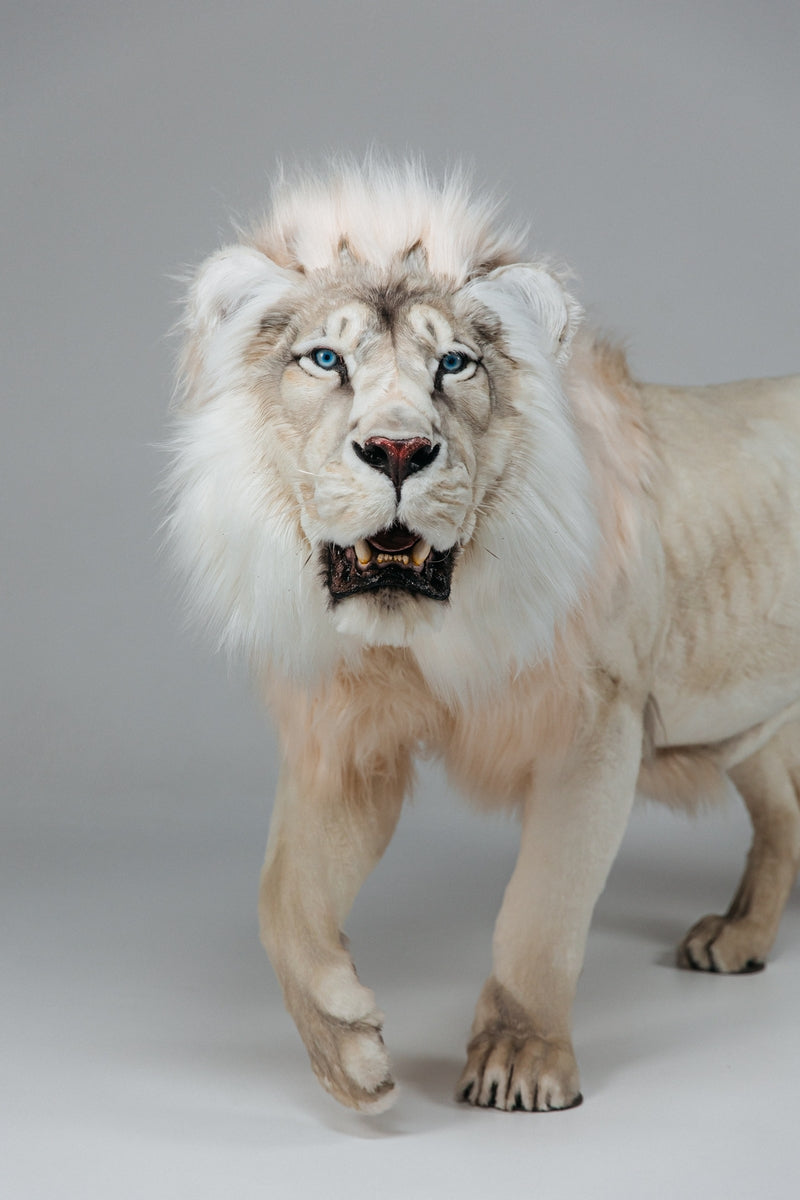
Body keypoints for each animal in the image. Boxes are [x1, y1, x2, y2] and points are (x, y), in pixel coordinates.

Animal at [167, 160, 800, 1114]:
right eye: (327, 359)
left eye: (453, 365)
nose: (397, 449)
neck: (425, 632)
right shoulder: (348, 740)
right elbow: (281, 898)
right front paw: (349, 1052)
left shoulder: (594, 730)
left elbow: (542, 910)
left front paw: (521, 1059)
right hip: (742, 719)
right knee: (783, 809)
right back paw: (739, 937)